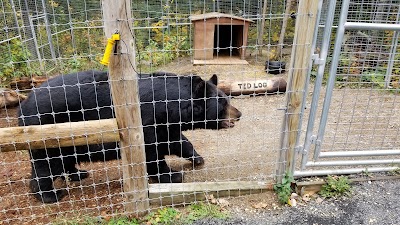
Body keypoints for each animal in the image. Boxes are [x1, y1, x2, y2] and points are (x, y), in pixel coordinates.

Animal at [18, 71, 242, 204]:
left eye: (226, 99)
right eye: (223, 103)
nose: (239, 114)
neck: (172, 106)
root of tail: (23, 107)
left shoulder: (166, 123)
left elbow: (176, 139)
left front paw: (197, 158)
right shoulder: (147, 119)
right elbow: (151, 152)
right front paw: (172, 175)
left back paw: (79, 174)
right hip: (49, 131)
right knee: (47, 165)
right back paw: (50, 194)